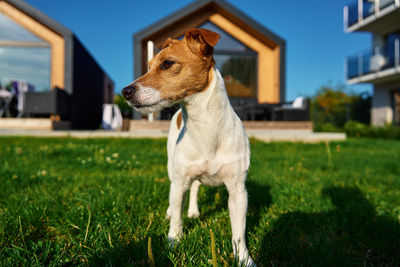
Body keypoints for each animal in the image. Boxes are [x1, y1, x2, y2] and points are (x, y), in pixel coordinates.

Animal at [121, 27, 256, 266]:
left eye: (167, 64)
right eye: (149, 67)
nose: (125, 91)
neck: (205, 127)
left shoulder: (238, 190)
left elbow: (239, 232)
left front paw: (243, 258)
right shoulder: (180, 182)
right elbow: (176, 217)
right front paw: (173, 243)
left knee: (195, 188)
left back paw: (193, 211)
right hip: (172, 169)